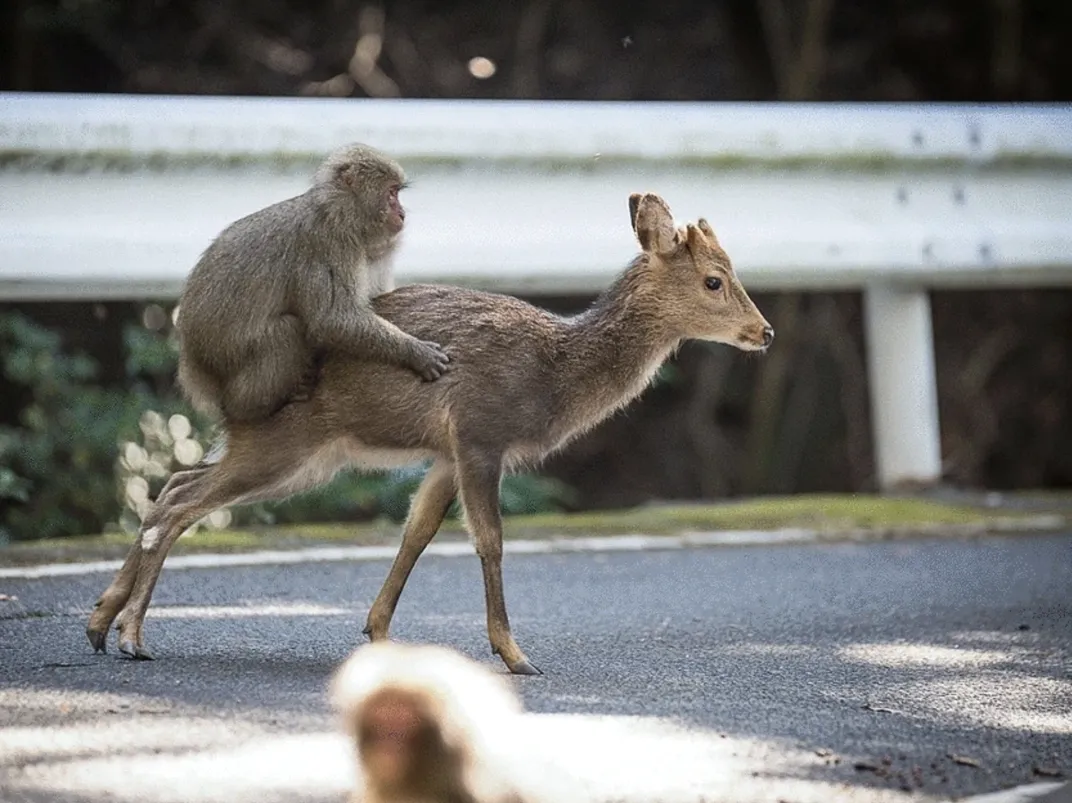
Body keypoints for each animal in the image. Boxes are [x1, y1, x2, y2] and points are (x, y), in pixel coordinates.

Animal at [85, 192, 774, 675]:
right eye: (714, 279)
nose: (764, 332)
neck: (552, 374)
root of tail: (221, 388)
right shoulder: (480, 431)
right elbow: (489, 540)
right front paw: (515, 654)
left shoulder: (445, 453)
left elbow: (416, 532)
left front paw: (378, 631)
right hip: (285, 444)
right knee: (180, 503)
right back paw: (132, 636)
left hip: (296, 455)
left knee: (175, 483)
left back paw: (100, 623)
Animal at [175, 142, 451, 424]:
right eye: (392, 193)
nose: (402, 214)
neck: (338, 212)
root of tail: (194, 366)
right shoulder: (328, 244)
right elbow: (332, 320)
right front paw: (414, 352)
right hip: (226, 358)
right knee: (286, 330)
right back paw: (249, 408)